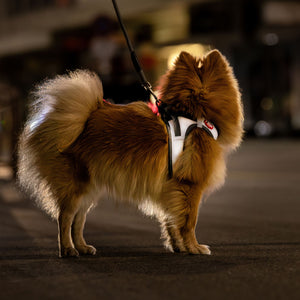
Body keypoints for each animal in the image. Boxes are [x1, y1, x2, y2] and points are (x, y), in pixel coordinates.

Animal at [17, 50, 244, 256]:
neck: (193, 113)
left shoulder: (169, 188)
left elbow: (171, 221)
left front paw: (178, 246)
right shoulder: (189, 186)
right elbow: (188, 222)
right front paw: (194, 248)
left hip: (89, 189)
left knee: (78, 220)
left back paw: (82, 247)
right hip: (76, 187)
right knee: (65, 217)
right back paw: (67, 249)